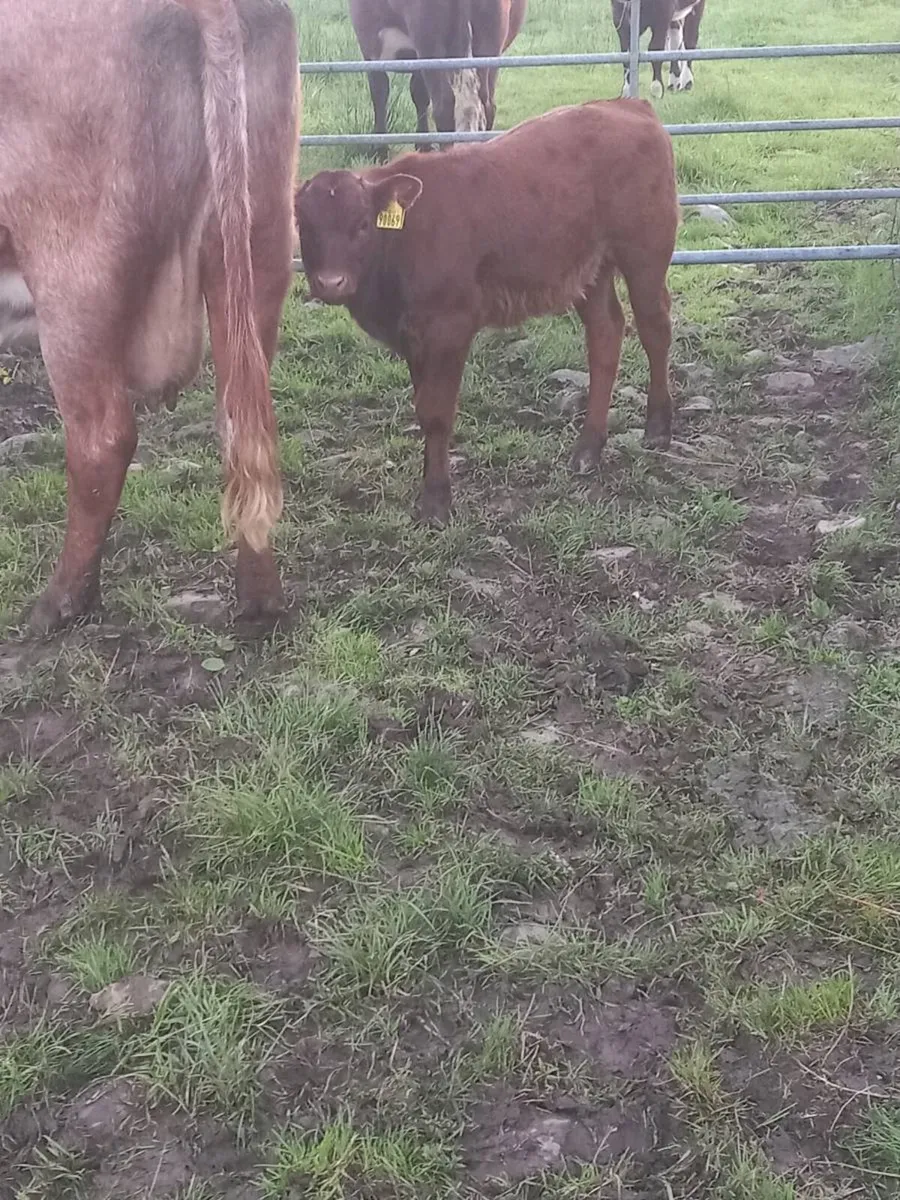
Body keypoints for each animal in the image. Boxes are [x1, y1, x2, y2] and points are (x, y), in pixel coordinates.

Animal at [0, 0, 301, 634]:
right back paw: (260, 599)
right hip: (258, 240)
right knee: (242, 423)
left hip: (73, 279)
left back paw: (58, 603)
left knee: (102, 440)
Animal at [295, 99, 678, 528]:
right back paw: (588, 448)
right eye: (304, 226)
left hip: (646, 252)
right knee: (605, 334)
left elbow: (437, 412)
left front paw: (436, 500)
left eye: (362, 224)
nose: (331, 282)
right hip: (589, 268)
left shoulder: (450, 327)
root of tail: (627, 105)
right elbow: (423, 406)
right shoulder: (414, 335)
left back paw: (658, 426)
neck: (402, 240)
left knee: (654, 328)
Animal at [349, 0, 527, 156]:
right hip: (489, 48)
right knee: (487, 106)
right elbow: (419, 93)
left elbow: (379, 93)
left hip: (430, 42)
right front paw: (423, 145)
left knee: (444, 106)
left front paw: (380, 151)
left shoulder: (370, 48)